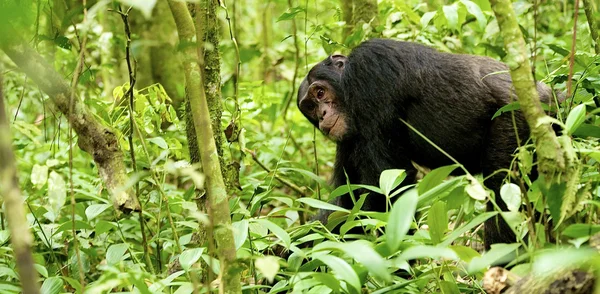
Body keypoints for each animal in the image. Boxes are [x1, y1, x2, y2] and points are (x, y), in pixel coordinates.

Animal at [298, 38, 556, 247]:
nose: (322, 115)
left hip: (515, 121)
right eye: (309, 106)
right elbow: (344, 202)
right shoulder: (347, 140)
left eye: (320, 93)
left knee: (502, 190)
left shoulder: (370, 73)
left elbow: (387, 187)